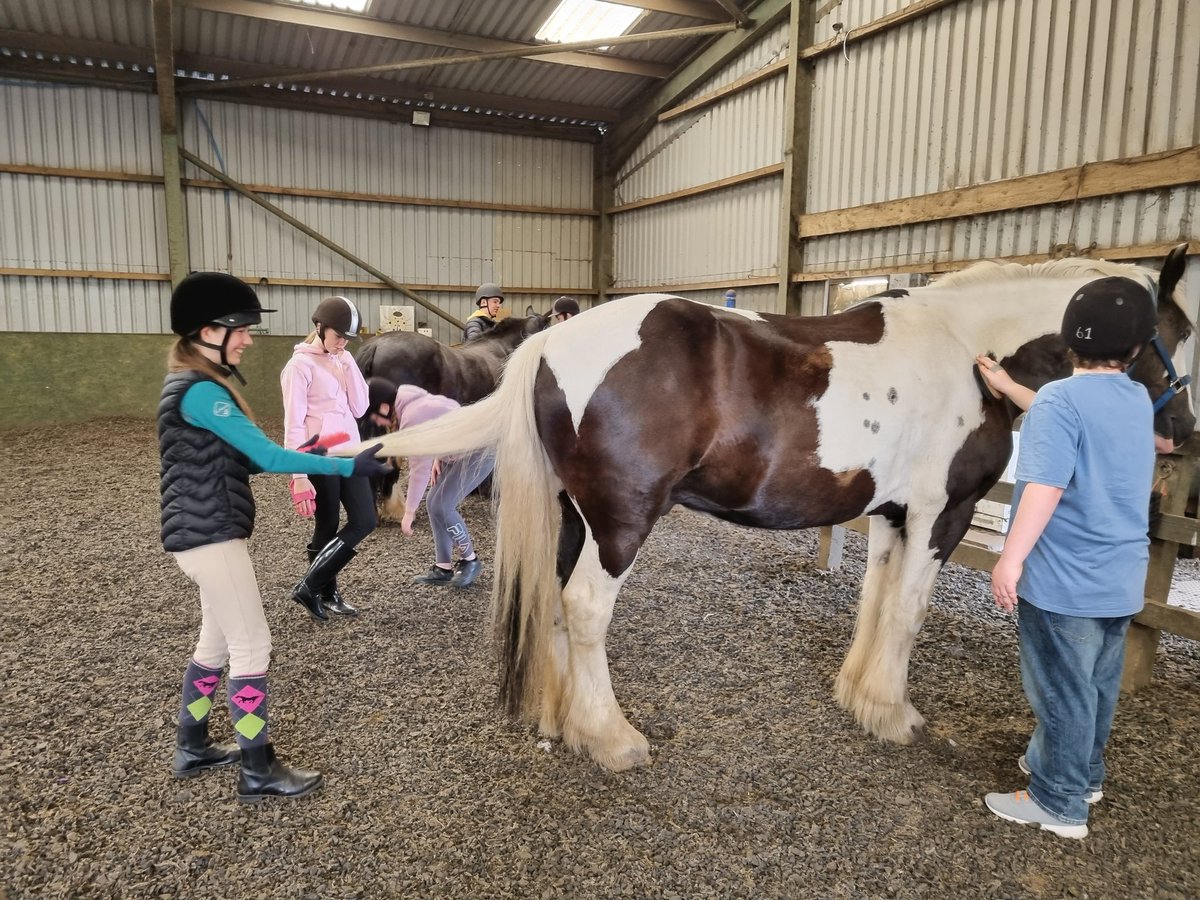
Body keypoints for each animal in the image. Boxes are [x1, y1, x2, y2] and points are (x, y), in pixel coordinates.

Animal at [343, 246, 1195, 771]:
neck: (970, 349)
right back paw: (612, 738)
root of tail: (549, 346)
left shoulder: (891, 514)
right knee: (584, 609)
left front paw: (858, 697)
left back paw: (565, 721)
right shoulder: (939, 514)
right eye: (1178, 333)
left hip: (576, 517)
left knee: (554, 604)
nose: (1181, 432)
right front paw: (892, 714)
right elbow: (909, 612)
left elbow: (876, 601)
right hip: (620, 523)